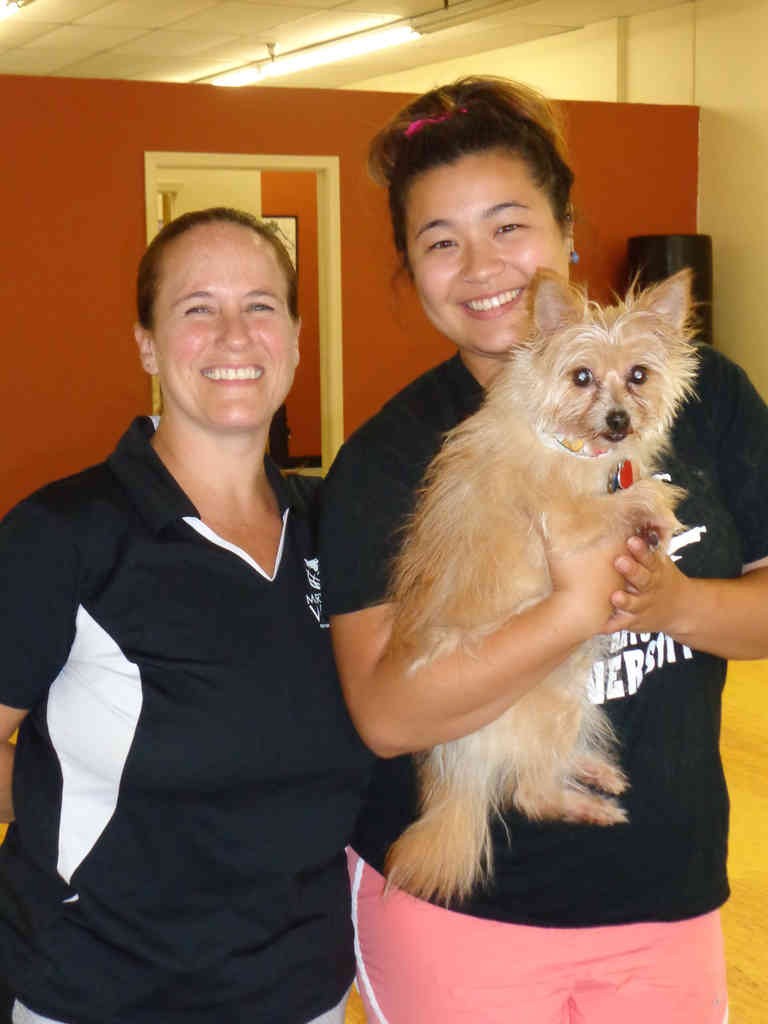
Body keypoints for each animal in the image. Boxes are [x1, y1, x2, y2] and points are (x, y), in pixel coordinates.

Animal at [387, 266, 700, 905]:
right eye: (581, 377)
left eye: (639, 375)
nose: (619, 421)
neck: (570, 442)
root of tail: (461, 766)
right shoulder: (571, 522)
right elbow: (633, 497)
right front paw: (657, 513)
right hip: (554, 697)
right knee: (529, 792)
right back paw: (589, 806)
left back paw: (591, 771)